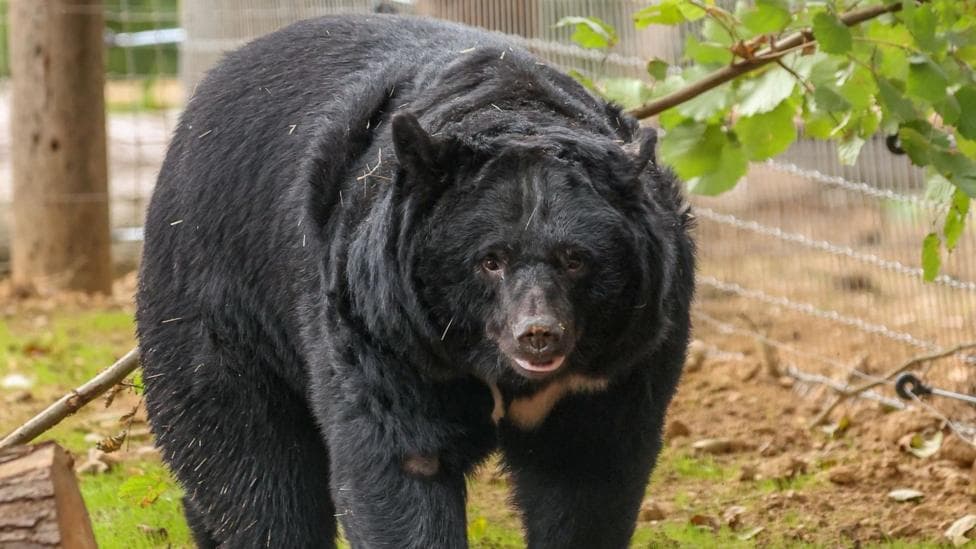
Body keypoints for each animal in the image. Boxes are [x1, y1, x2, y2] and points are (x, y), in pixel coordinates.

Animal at [136, 14, 694, 549]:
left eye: (575, 259)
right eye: (490, 260)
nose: (538, 334)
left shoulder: (624, 357)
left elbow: (590, 477)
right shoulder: (381, 323)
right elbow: (399, 461)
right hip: (216, 300)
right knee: (250, 461)